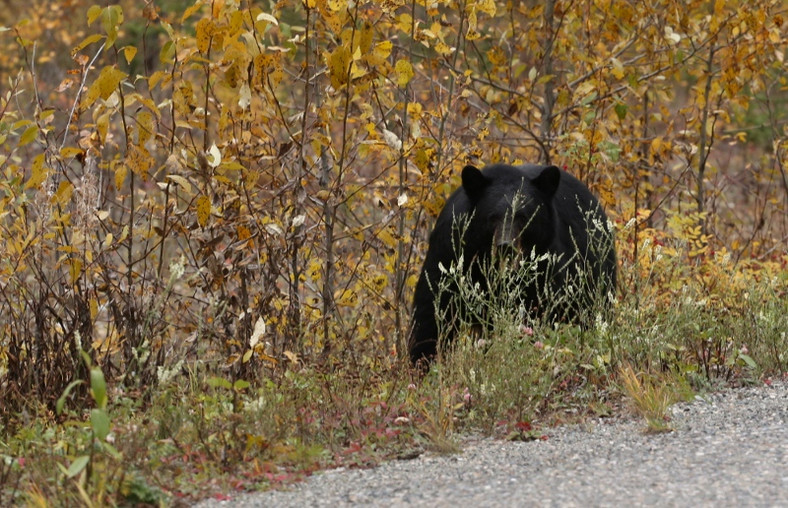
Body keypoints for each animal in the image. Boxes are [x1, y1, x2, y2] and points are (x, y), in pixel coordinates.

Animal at [410, 163, 620, 366]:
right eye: (492, 217)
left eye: (523, 217)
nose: (505, 247)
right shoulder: (449, 251)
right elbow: (431, 312)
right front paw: (423, 364)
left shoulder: (547, 267)